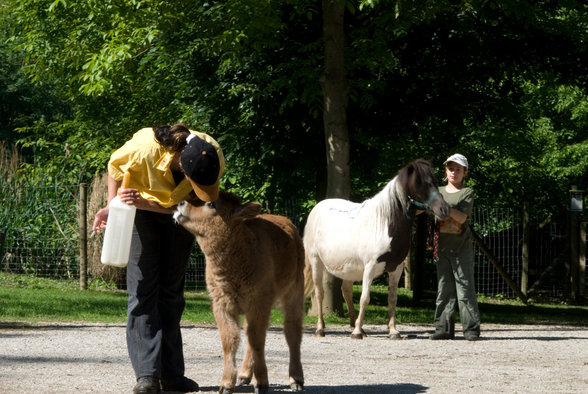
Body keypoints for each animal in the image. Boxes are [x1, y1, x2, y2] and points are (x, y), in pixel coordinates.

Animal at [304, 159, 450, 338]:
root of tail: (317, 207)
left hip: (348, 267)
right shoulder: (370, 267)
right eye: (419, 182)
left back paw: (356, 325)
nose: (444, 209)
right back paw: (321, 328)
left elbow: (392, 299)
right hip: (316, 261)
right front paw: (357, 332)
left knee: (346, 290)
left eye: (435, 182)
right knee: (319, 293)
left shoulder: (396, 269)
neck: (385, 225)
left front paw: (393, 331)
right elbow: (365, 298)